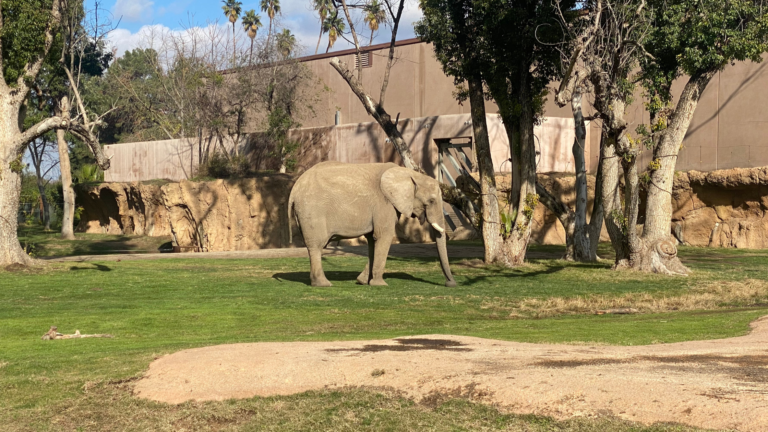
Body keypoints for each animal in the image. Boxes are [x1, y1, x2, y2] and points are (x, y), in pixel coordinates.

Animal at [288, 161, 456, 286]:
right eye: (432, 201)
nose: (450, 284)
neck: (409, 174)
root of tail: (295, 188)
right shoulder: (384, 204)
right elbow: (383, 236)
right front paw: (380, 284)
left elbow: (372, 240)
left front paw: (362, 282)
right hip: (312, 210)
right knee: (317, 246)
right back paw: (324, 284)